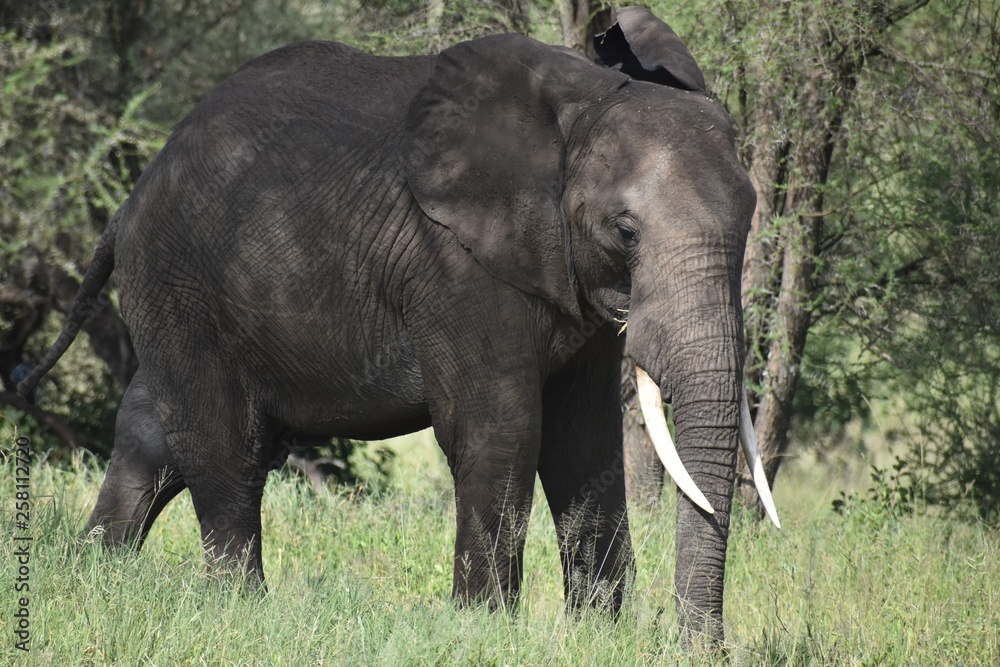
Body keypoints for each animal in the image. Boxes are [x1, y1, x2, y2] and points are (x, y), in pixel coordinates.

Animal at [20, 7, 778, 646]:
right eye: (625, 230)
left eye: (750, 216)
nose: (704, 649)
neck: (580, 102)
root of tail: (130, 197)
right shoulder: (455, 262)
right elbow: (501, 428)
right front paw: (485, 631)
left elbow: (582, 442)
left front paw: (595, 638)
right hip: (180, 279)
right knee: (223, 445)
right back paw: (241, 609)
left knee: (152, 434)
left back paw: (97, 572)